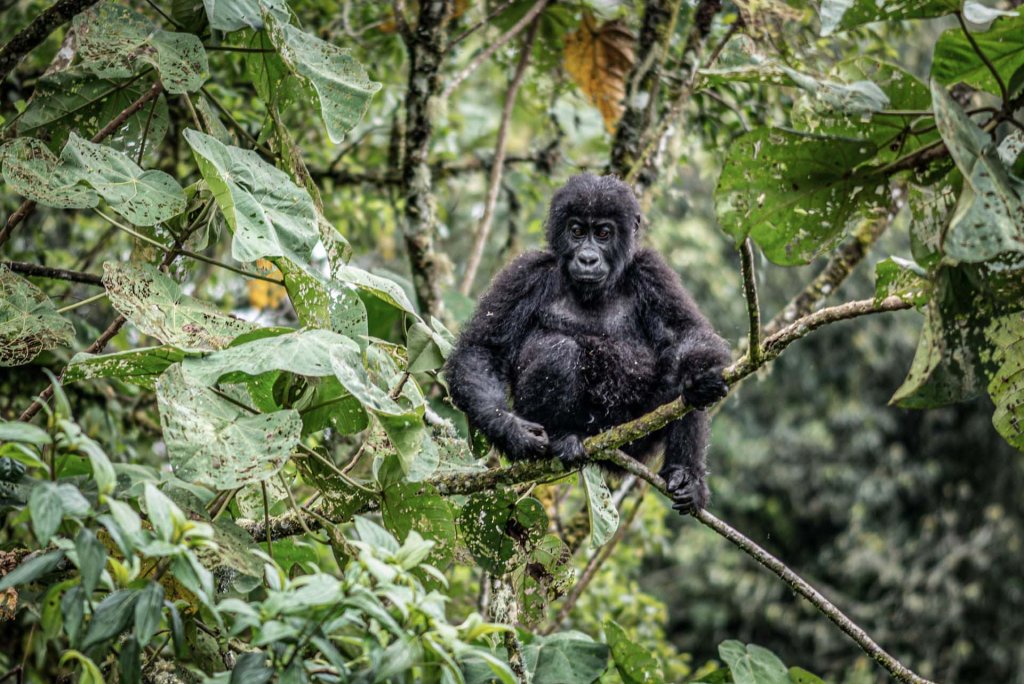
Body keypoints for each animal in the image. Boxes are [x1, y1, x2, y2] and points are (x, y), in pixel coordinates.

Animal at [446, 174, 729, 509]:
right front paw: (511, 429)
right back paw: (562, 438)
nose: (588, 258)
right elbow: (482, 350)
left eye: (603, 233)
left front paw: (700, 378)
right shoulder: (526, 273)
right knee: (558, 351)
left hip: (638, 444)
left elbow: (687, 334)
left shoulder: (652, 271)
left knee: (676, 364)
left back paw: (686, 475)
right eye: (577, 231)